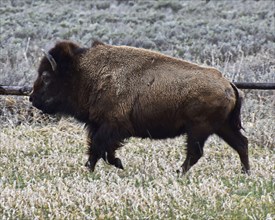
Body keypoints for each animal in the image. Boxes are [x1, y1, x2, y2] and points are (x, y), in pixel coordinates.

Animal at [29, 40, 250, 174]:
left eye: (46, 76)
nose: (32, 98)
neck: (84, 73)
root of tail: (228, 84)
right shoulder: (100, 126)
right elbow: (101, 149)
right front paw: (112, 165)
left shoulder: (112, 126)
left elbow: (99, 148)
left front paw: (96, 168)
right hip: (221, 127)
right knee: (241, 143)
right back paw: (245, 173)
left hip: (199, 129)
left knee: (196, 153)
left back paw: (178, 173)